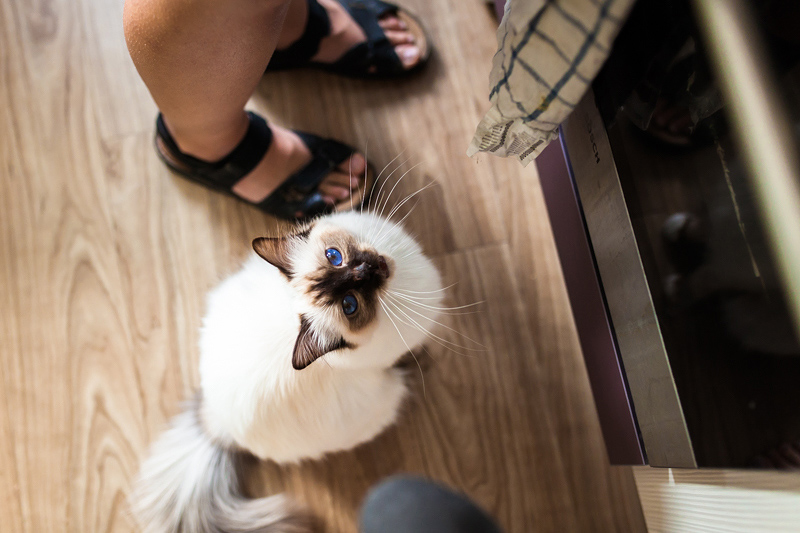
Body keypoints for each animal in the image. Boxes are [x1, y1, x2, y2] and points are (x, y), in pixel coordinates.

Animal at [130, 210, 444, 532]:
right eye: (349, 305)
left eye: (334, 256)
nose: (366, 270)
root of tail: (217, 426)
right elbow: (409, 356)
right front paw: (424, 358)